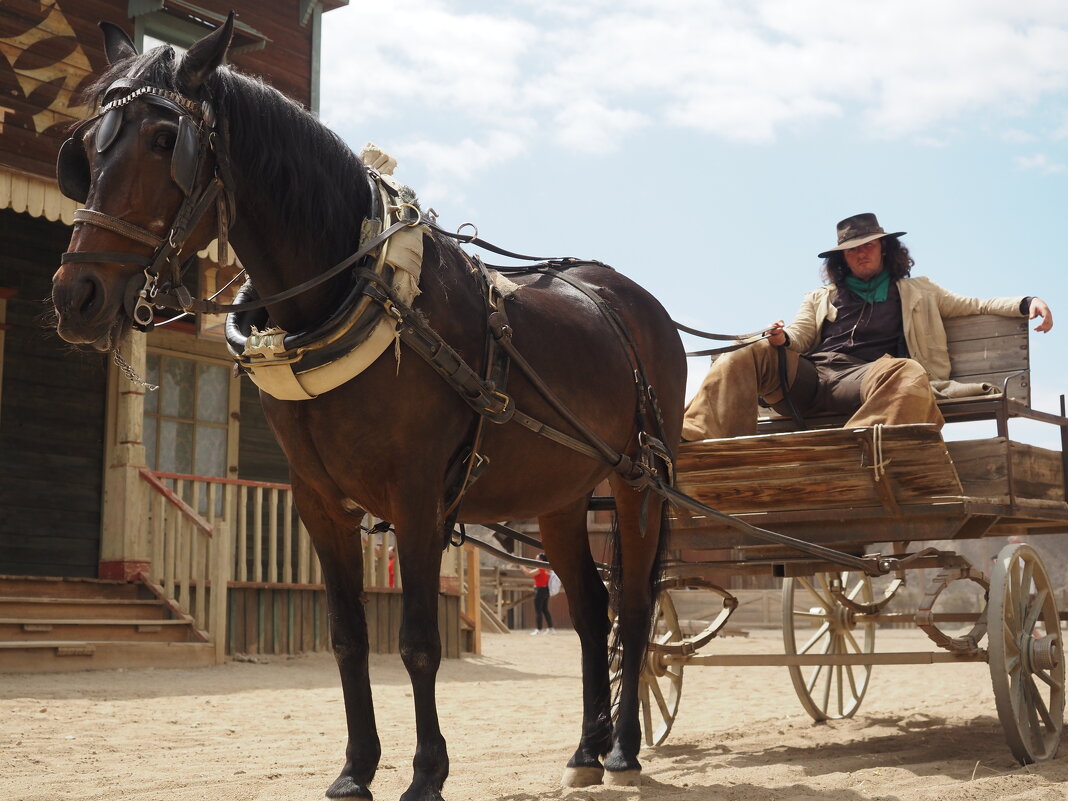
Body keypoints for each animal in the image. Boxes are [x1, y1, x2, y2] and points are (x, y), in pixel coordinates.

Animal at [48, 18, 683, 801]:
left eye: (166, 140)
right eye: (87, 148)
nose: (76, 296)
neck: (357, 291)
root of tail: (627, 298)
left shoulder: (415, 498)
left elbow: (416, 641)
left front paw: (427, 771)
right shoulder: (318, 500)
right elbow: (349, 638)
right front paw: (355, 767)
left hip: (636, 481)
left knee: (635, 603)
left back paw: (623, 748)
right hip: (561, 495)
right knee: (593, 611)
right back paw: (586, 749)